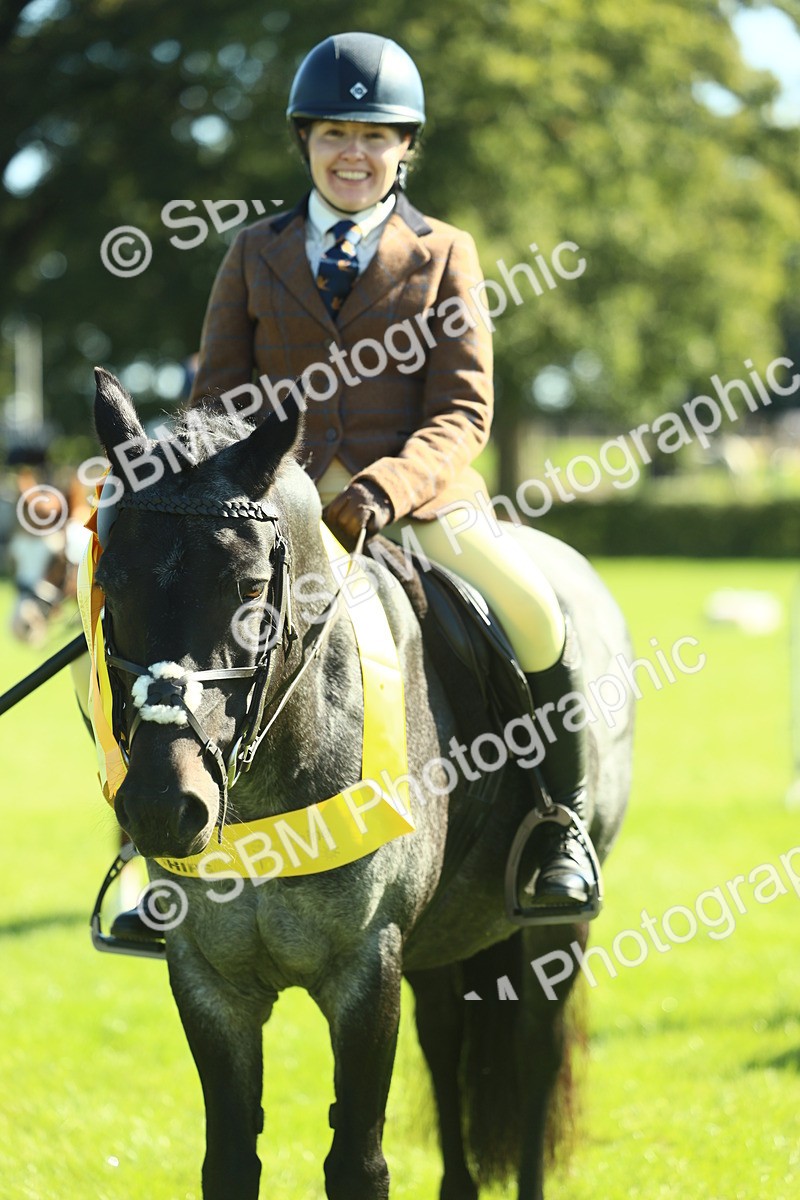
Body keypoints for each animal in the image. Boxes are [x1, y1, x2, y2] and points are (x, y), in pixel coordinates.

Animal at [91, 367, 633, 1200]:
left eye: (251, 587)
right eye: (110, 585)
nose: (159, 807)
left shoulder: (365, 967)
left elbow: (357, 1162)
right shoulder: (209, 979)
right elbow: (229, 1159)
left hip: (554, 927)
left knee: (534, 1056)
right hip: (440, 933)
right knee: (444, 1035)